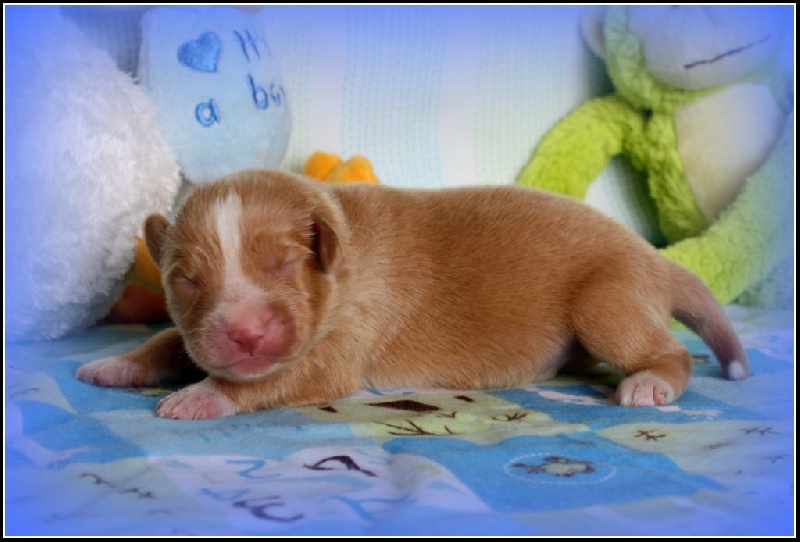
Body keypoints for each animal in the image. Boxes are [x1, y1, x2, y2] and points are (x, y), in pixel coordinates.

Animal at [76, 169, 748, 419]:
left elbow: (273, 379)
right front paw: (117, 364)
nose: (244, 333)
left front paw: (198, 398)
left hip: (606, 299)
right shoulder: (200, 330)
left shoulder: (335, 350)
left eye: (283, 264)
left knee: (670, 351)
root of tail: (654, 258)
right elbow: (170, 340)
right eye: (186, 280)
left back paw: (651, 383)